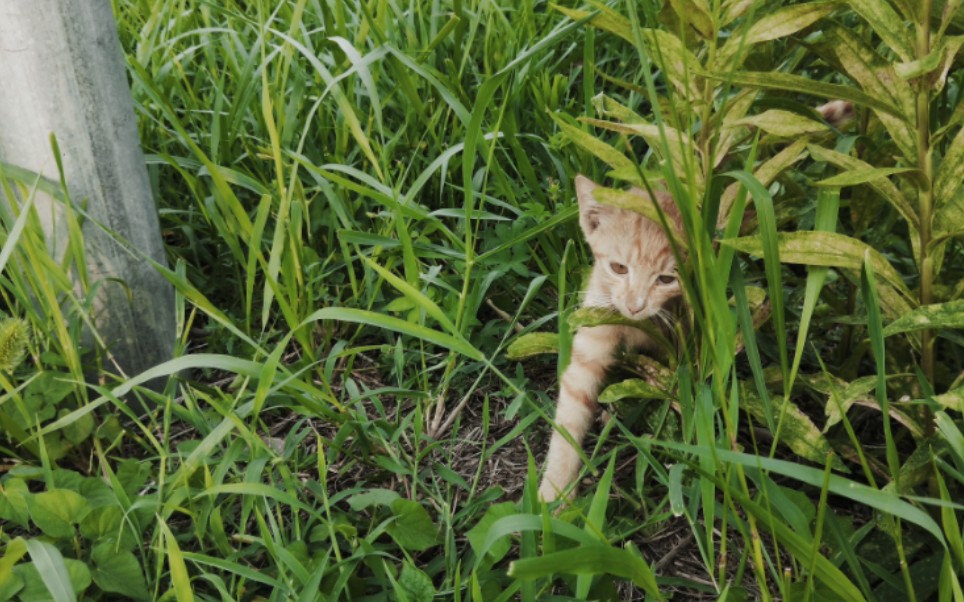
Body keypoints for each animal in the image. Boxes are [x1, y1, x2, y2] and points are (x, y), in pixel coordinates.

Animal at [540, 175, 680, 502]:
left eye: (667, 279)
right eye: (618, 268)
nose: (635, 305)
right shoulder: (596, 319)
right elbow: (570, 414)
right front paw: (555, 493)